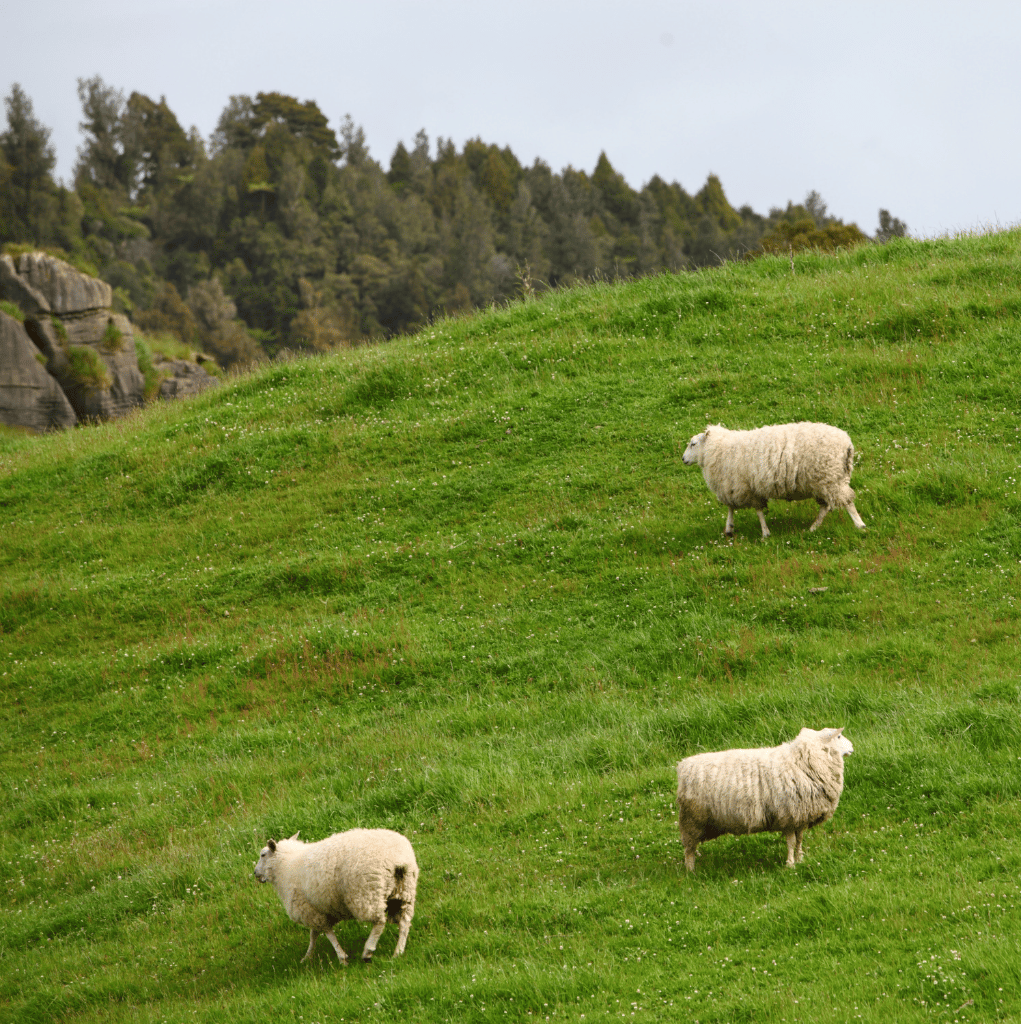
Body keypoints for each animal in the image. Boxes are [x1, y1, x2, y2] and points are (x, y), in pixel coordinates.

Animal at [253, 827, 418, 964]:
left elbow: (327, 933)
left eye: (263, 854)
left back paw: (368, 951)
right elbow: (314, 935)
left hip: (366, 893)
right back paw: (398, 952)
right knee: (404, 923)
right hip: (404, 891)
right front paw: (307, 957)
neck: (285, 865)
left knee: (379, 922)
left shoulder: (309, 910)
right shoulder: (318, 910)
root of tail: (397, 859)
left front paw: (341, 957)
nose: (255, 873)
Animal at [675, 727, 853, 871]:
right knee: (688, 849)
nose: (852, 747)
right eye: (838, 736)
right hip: (692, 818)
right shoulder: (789, 815)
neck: (803, 762)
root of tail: (683, 766)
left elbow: (799, 840)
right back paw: (691, 871)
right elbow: (791, 842)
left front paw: (800, 858)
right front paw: (790, 864)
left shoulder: (801, 817)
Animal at [681, 422, 866, 538]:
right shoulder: (735, 486)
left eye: (693, 444)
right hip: (825, 481)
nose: (683, 459)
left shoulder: (743, 487)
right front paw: (729, 529)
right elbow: (731, 508)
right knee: (825, 507)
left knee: (847, 502)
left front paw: (765, 533)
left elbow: (756, 511)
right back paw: (813, 528)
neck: (718, 449)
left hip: (830, 478)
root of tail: (847, 444)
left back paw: (860, 525)